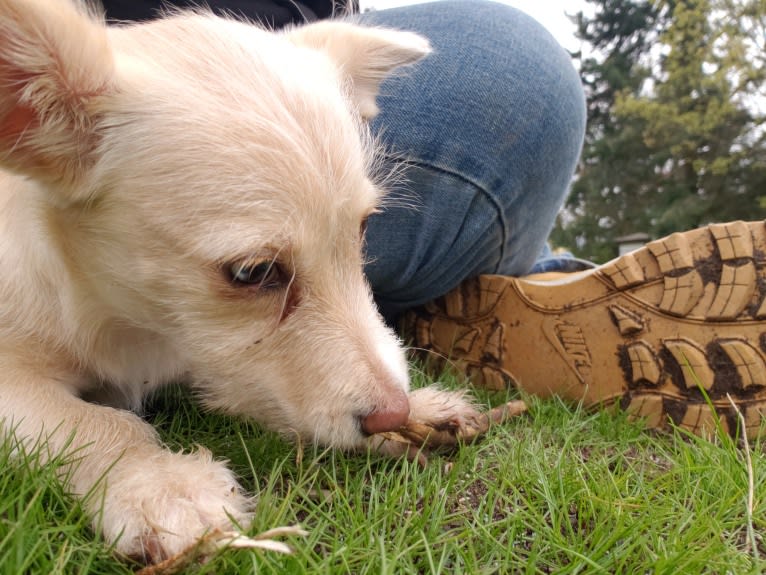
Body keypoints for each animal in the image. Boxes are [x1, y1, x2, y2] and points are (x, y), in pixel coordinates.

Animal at [0, 0, 476, 564]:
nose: (393, 412)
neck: (130, 324)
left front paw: (422, 408)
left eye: (362, 229)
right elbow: (88, 423)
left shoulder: (209, 349)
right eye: (253, 273)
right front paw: (162, 486)